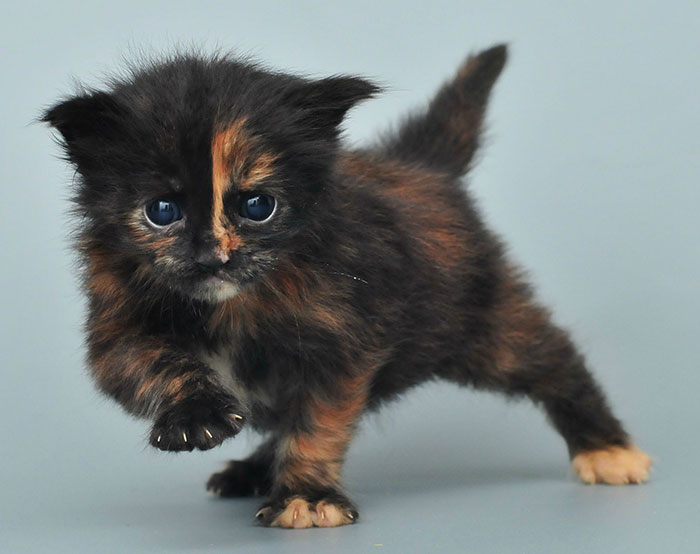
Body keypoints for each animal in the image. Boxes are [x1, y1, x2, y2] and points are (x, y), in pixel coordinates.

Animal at [43, 43, 652, 528]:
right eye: (162, 211)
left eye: (257, 206)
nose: (213, 257)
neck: (233, 304)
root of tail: (421, 169)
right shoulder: (117, 322)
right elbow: (149, 364)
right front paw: (197, 416)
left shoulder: (343, 339)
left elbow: (318, 422)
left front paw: (306, 497)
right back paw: (252, 469)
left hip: (482, 320)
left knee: (552, 357)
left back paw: (608, 448)